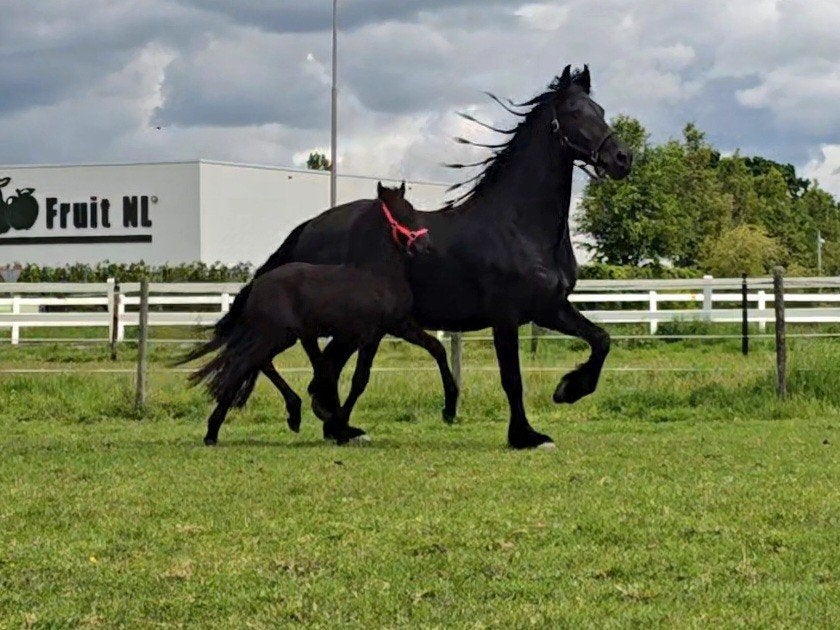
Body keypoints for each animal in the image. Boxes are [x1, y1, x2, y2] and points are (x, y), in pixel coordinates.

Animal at [181, 188, 434, 445]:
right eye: (403, 213)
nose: (425, 246)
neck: (376, 275)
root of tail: (257, 285)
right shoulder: (370, 334)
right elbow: (355, 378)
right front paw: (340, 427)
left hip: (284, 337)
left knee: (257, 363)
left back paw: (292, 415)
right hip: (275, 334)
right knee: (242, 364)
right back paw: (216, 432)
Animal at [218, 64, 632, 449]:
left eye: (600, 109)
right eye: (575, 112)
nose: (622, 158)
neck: (521, 226)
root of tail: (309, 227)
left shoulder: (549, 307)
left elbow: (601, 340)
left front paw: (568, 389)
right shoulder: (506, 316)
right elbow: (512, 378)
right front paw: (525, 435)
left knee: (324, 370)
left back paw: (338, 426)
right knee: (293, 363)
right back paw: (318, 419)